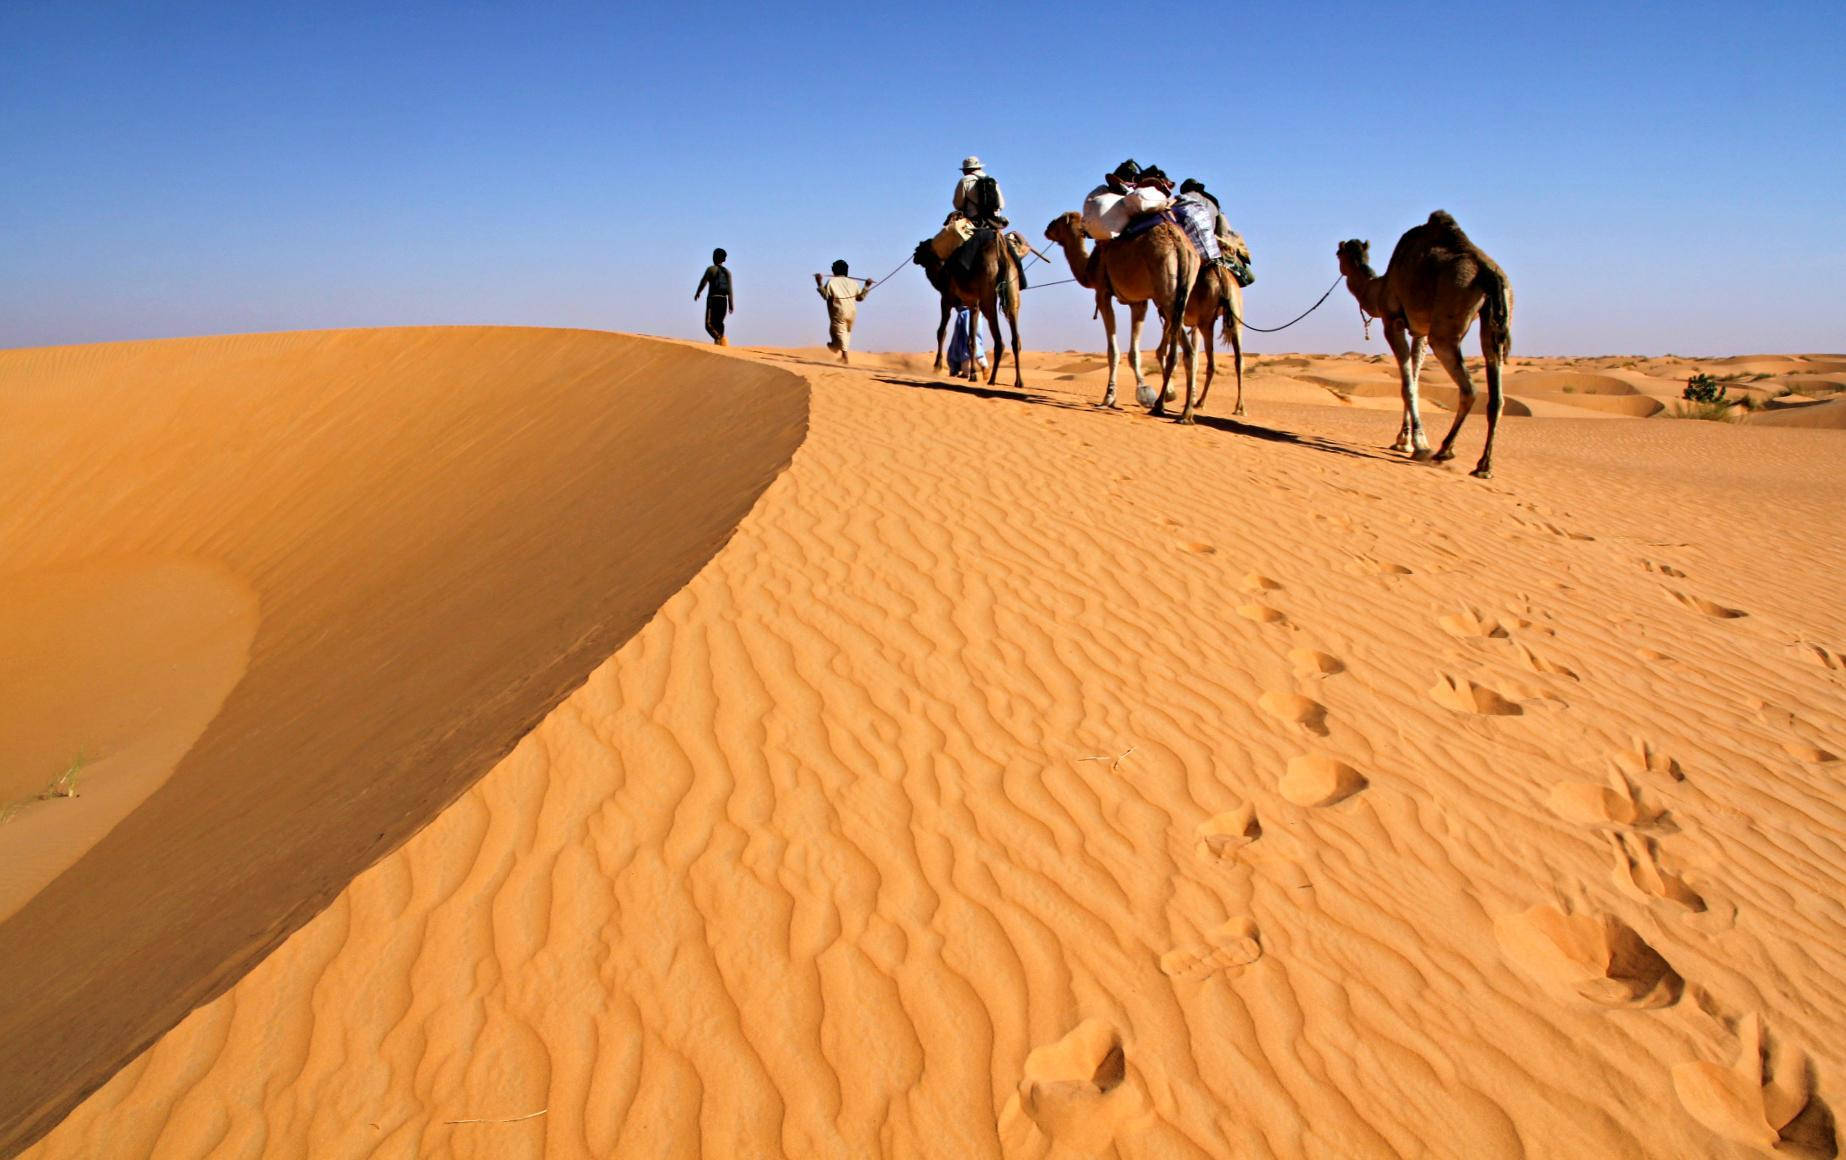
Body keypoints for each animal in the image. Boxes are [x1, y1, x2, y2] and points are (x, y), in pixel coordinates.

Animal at [915, 229, 1033, 389]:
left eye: (922, 247)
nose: (915, 255)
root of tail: (1001, 249)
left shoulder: (946, 299)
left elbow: (941, 332)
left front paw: (937, 367)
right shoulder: (973, 305)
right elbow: (971, 340)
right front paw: (972, 374)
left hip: (988, 291)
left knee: (999, 339)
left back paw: (992, 379)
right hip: (1012, 287)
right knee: (1015, 334)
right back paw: (1018, 381)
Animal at [1048, 211, 1203, 421]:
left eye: (1058, 222)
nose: (1047, 228)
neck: (1090, 268)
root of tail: (1178, 243)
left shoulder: (1103, 293)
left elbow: (1113, 351)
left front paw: (1109, 398)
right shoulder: (1138, 302)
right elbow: (1134, 353)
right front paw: (1144, 391)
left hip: (1166, 293)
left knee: (1185, 350)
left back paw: (1177, 410)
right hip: (1182, 293)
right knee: (1187, 351)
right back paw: (1177, 408)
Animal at [1343, 210, 1513, 476]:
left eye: (1338, 253)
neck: (1378, 286)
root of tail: (1489, 272)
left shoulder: (1393, 322)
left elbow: (1407, 385)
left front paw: (1418, 444)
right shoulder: (1419, 331)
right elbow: (1414, 379)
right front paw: (1404, 441)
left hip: (1446, 323)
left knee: (1469, 388)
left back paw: (1445, 450)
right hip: (1496, 316)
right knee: (1496, 392)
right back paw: (1483, 466)